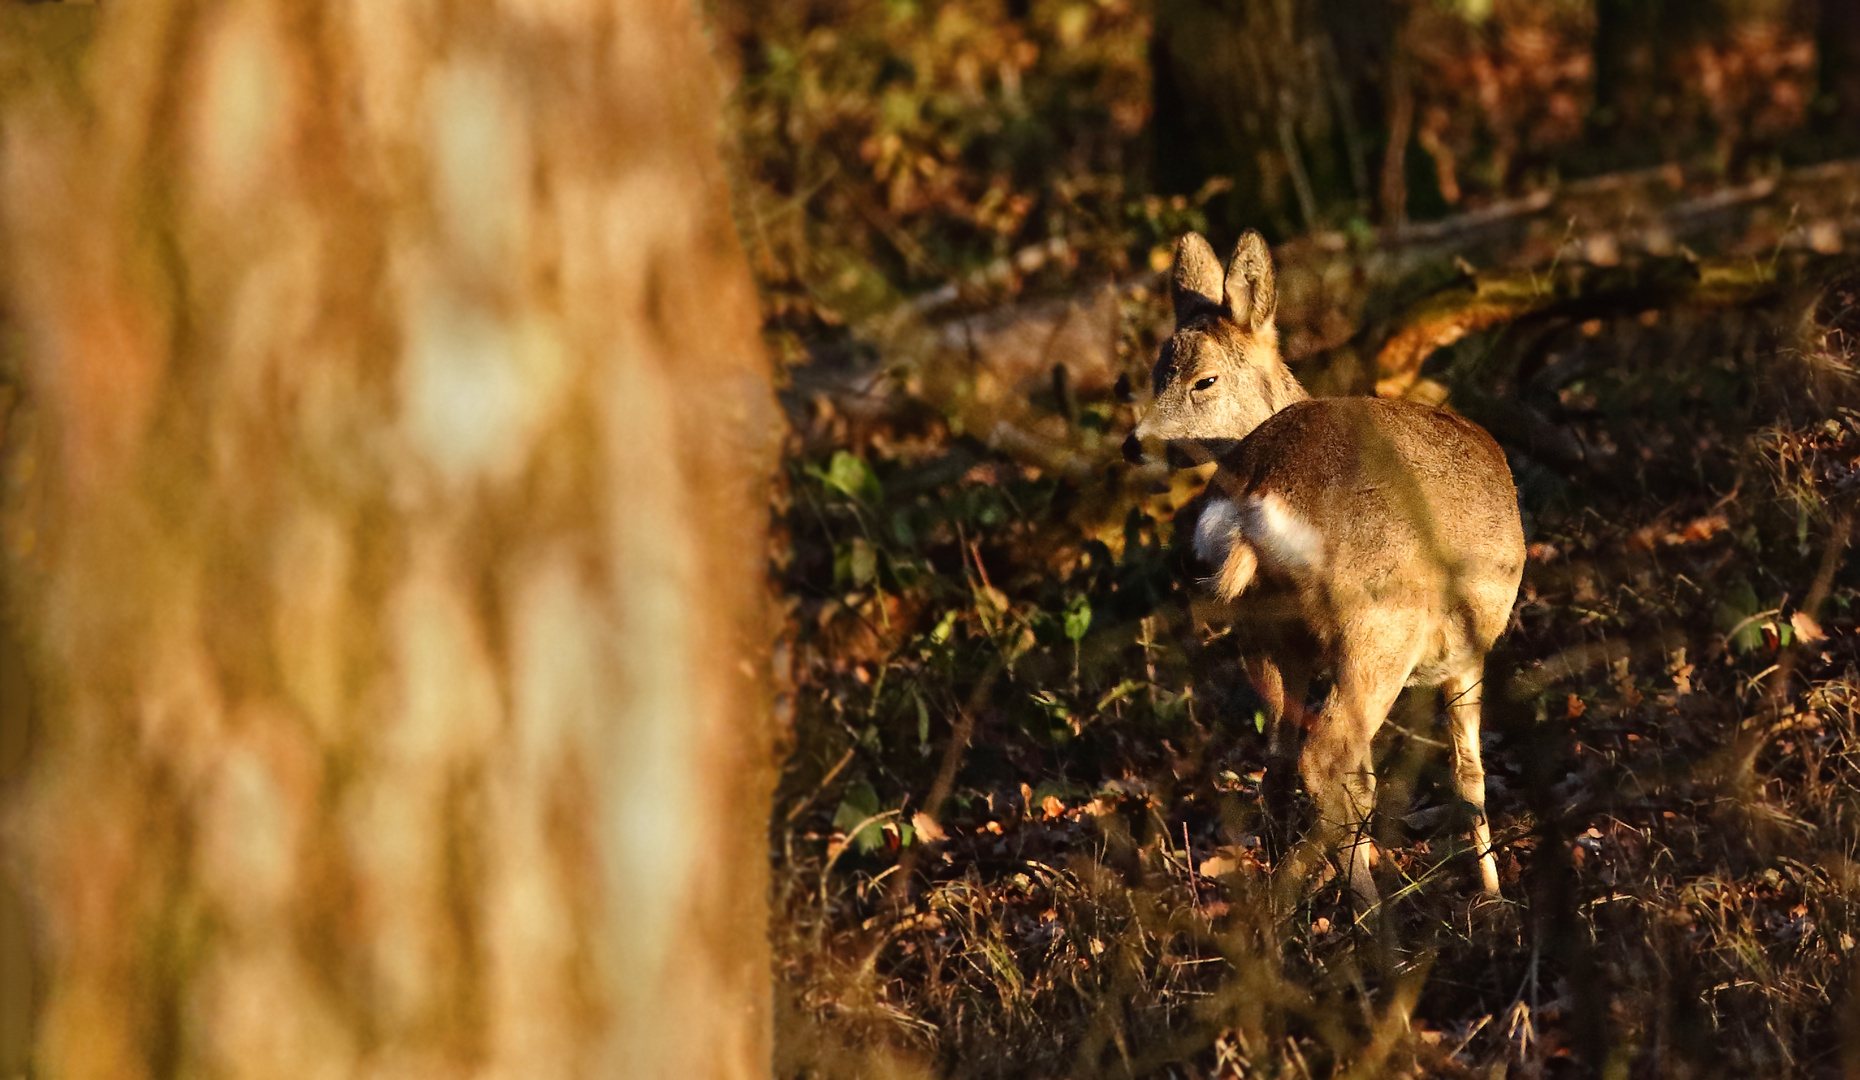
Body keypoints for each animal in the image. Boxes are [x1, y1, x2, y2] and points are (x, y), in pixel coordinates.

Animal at [1123, 231, 1517, 907]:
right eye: (1158, 373)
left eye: (1202, 380)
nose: (1135, 442)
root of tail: (1257, 497)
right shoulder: (1467, 648)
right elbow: (1469, 774)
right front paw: (1492, 898)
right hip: (1379, 623)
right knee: (1328, 757)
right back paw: (1370, 910)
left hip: (1263, 628)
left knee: (1281, 763)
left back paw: (1286, 905)